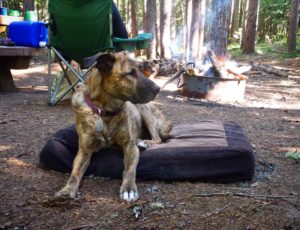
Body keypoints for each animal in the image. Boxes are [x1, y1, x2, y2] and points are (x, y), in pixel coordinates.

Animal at [55, 50, 172, 201]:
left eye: (142, 69)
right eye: (130, 73)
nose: (158, 89)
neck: (105, 112)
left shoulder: (129, 146)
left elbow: (130, 169)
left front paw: (128, 188)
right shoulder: (84, 151)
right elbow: (74, 173)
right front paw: (67, 189)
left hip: (144, 110)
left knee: (157, 138)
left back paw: (143, 142)